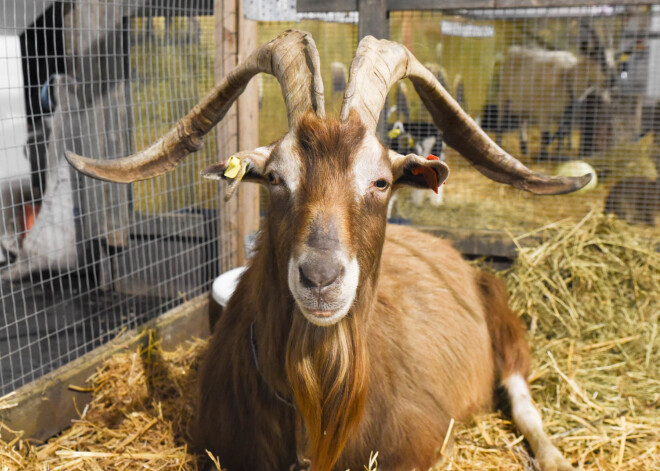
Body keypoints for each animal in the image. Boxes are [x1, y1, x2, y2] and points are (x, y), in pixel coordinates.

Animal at [65, 29, 592, 471]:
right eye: (275, 178)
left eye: (381, 182)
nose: (320, 279)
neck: (315, 398)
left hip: (501, 311)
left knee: (521, 392)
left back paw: (555, 458)